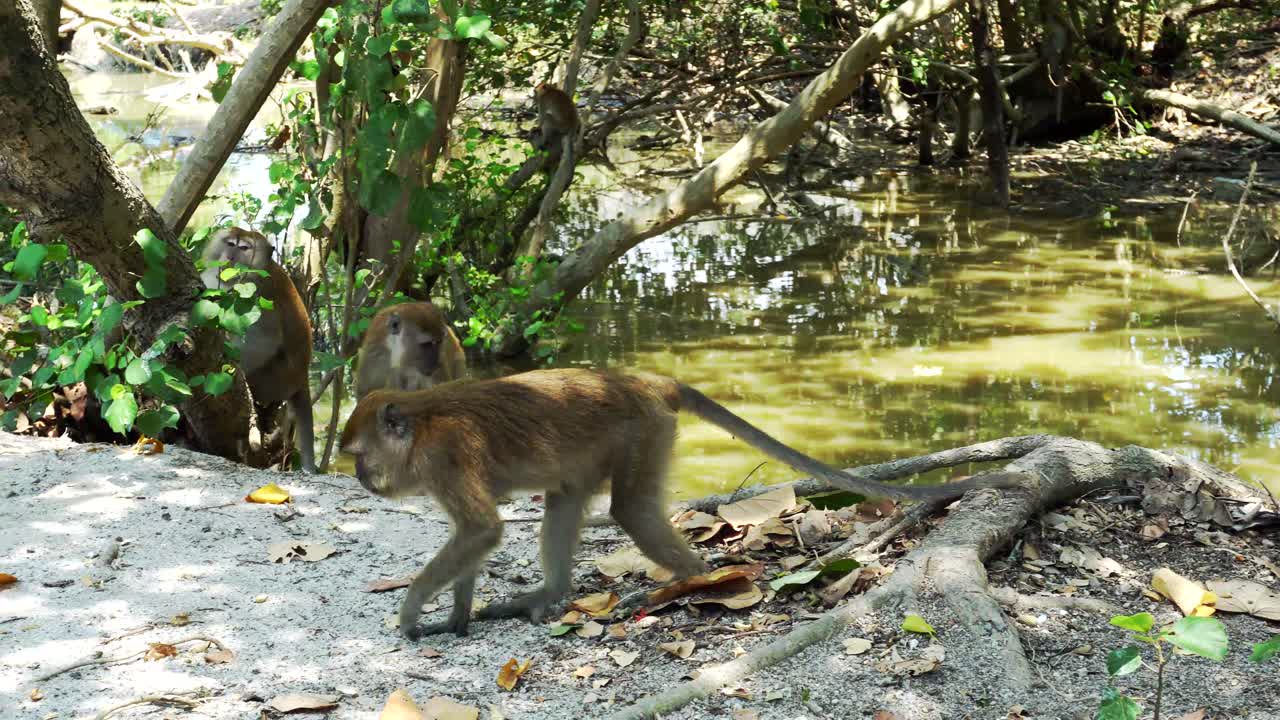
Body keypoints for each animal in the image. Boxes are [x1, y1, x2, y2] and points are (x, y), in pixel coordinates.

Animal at [200, 227, 316, 473]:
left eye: (244, 248)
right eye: (230, 243)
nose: (231, 257)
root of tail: (302, 376)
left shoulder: (259, 291)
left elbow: (266, 340)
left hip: (273, 380)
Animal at [339, 368, 1024, 639]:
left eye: (359, 455)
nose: (362, 479)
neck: (421, 425)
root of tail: (640, 380)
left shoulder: (446, 457)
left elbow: (481, 530)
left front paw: (411, 612)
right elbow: (477, 536)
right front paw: (455, 616)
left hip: (642, 432)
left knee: (632, 514)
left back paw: (698, 582)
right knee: (566, 498)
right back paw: (551, 595)